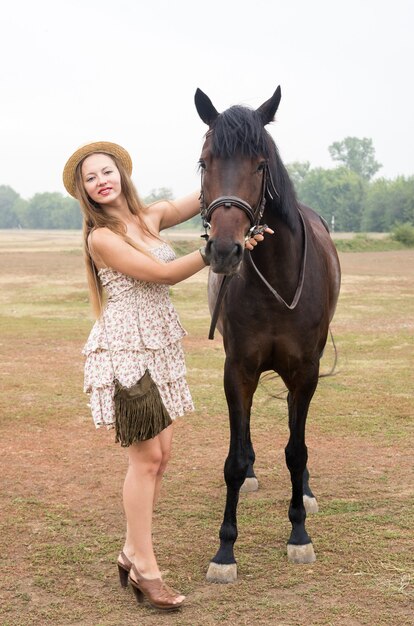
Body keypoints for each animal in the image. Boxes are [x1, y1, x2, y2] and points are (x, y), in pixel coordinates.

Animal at [196, 85, 342, 584]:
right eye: (204, 162)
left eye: (260, 165)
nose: (224, 250)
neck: (277, 275)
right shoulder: (238, 368)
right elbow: (233, 460)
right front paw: (224, 551)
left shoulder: (305, 372)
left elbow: (297, 451)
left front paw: (298, 535)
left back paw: (308, 492)